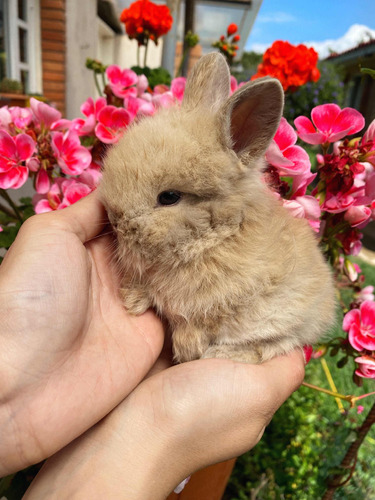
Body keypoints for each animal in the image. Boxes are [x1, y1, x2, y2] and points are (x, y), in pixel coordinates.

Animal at [99, 51, 334, 364]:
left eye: (169, 197)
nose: (115, 221)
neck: (217, 237)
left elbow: (196, 323)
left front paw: (188, 348)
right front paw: (132, 299)